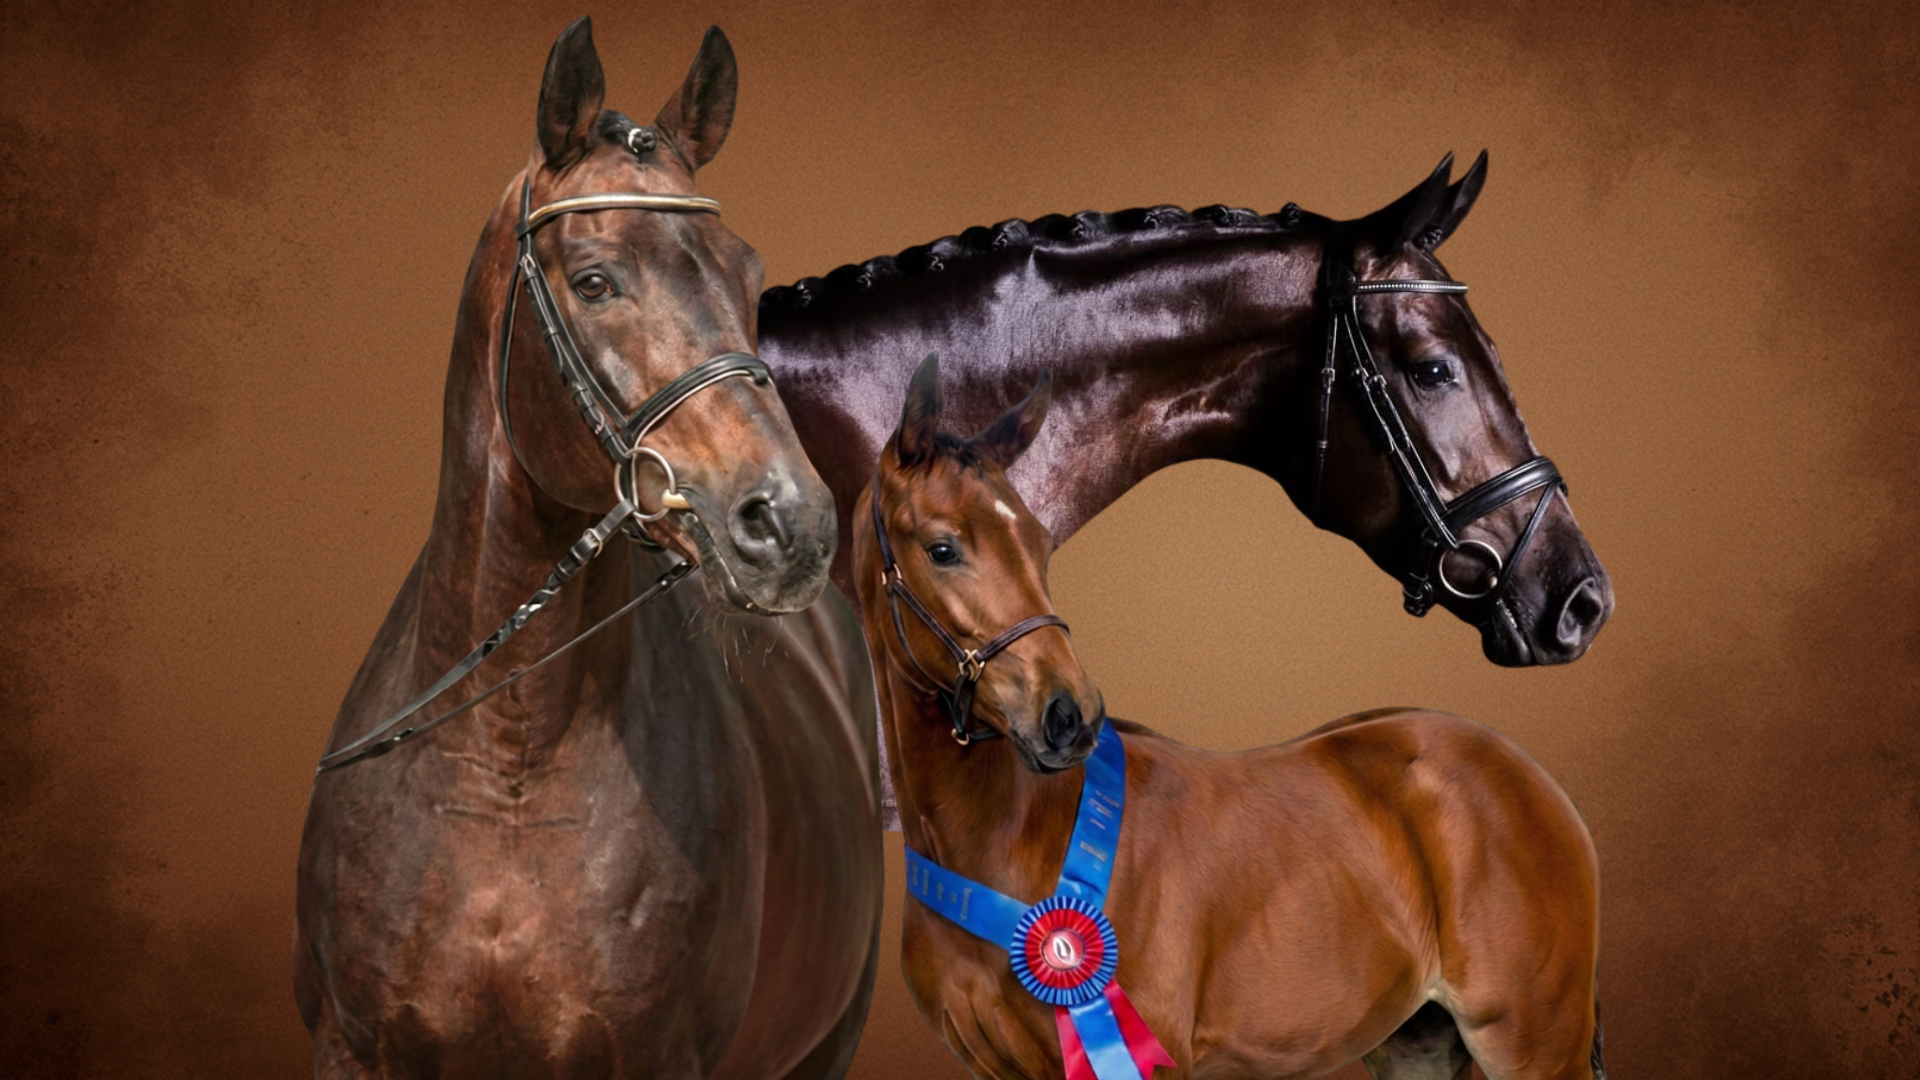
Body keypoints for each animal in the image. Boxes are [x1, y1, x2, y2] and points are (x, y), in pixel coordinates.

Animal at [853, 354, 1604, 1080]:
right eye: (942, 548)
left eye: (1039, 543)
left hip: (1537, 1050)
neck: (1012, 840)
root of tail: (1535, 782)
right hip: (1418, 1043)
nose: (1068, 715)